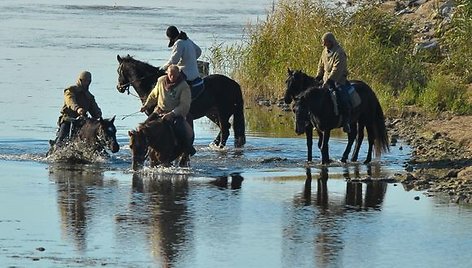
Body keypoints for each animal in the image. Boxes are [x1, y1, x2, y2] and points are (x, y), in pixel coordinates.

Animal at [115, 54, 245, 149]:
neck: (152, 84)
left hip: (223, 112)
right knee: (225, 128)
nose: (119, 88)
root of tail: (234, 84)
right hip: (212, 113)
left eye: (118, 71)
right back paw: (214, 144)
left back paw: (219, 147)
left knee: (225, 130)